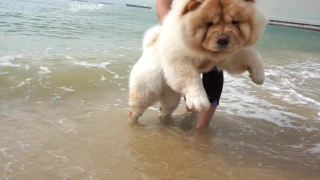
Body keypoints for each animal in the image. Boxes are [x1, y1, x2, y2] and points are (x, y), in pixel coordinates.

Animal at [127, 0, 268, 123]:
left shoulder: (231, 56)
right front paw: (199, 101)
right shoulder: (179, 58)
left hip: (171, 98)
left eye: (235, 22)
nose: (223, 39)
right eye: (209, 24)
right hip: (145, 92)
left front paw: (259, 76)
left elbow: (252, 54)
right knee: (134, 112)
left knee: (164, 110)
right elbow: (191, 77)